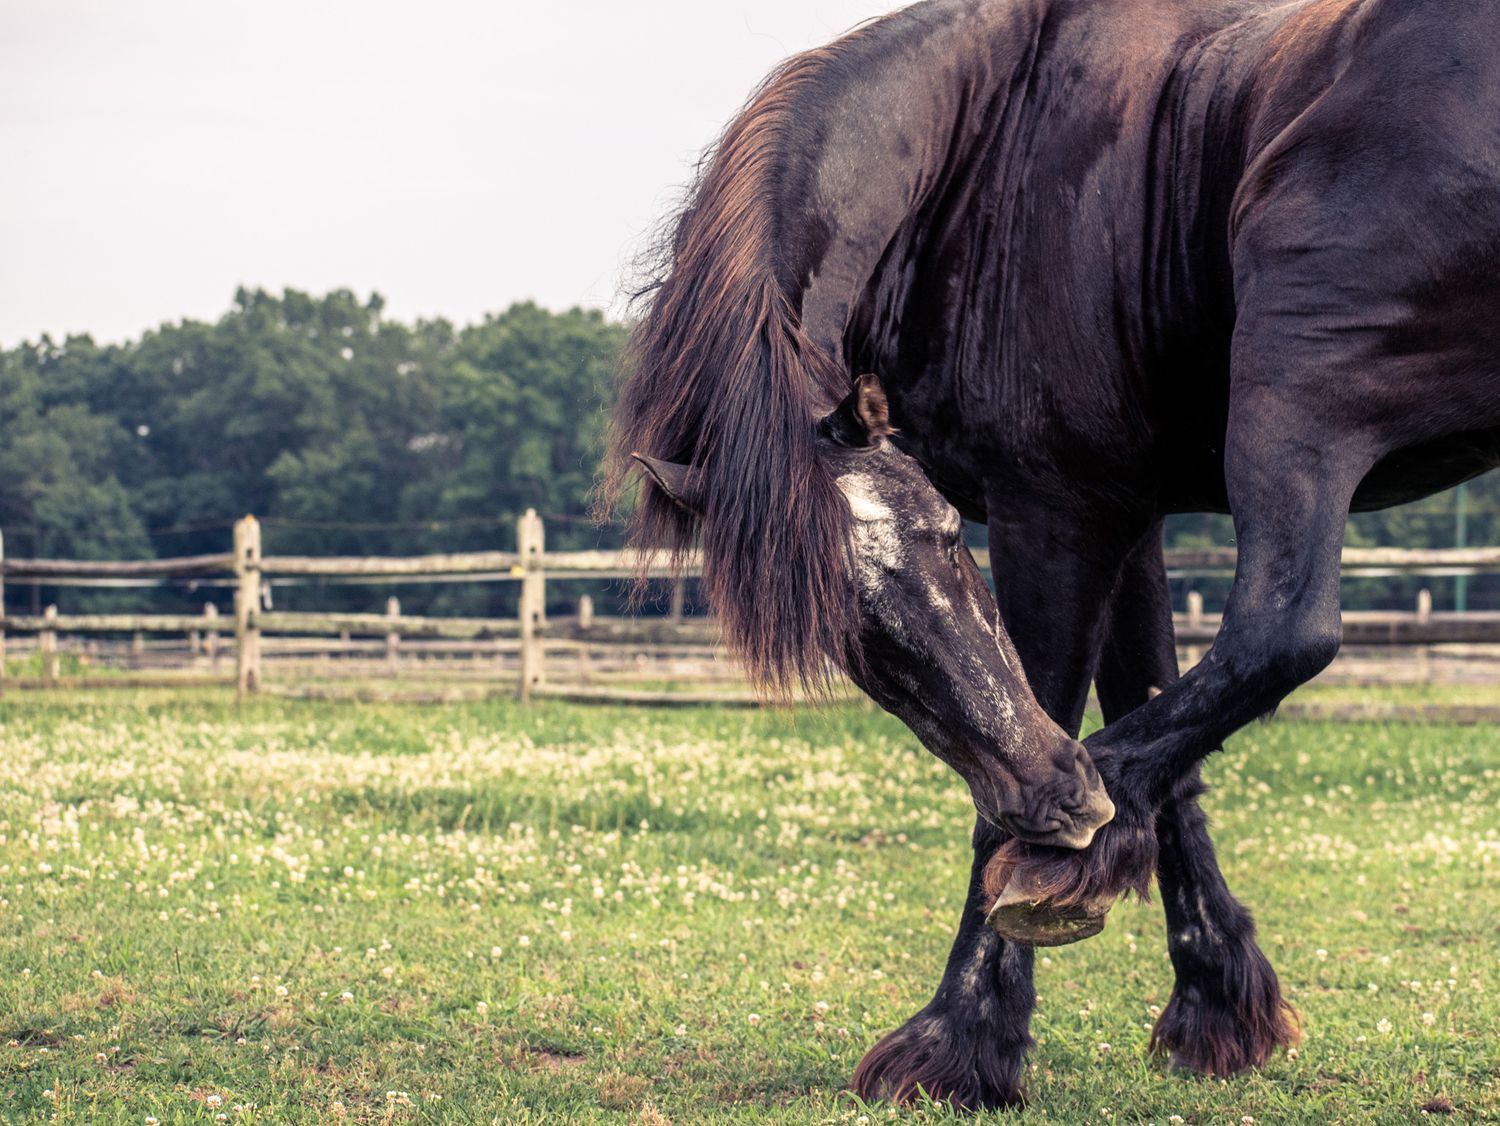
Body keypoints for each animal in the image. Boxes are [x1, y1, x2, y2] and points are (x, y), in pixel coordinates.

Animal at [601, 0, 1500, 1109]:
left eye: (950, 539)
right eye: (858, 642)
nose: (1064, 803)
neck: (988, 139)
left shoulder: (1057, 510)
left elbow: (1054, 729)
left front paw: (960, 1037)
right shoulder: (1129, 511)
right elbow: (1156, 720)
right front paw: (1217, 1005)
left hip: (1300, 384)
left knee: (1284, 628)